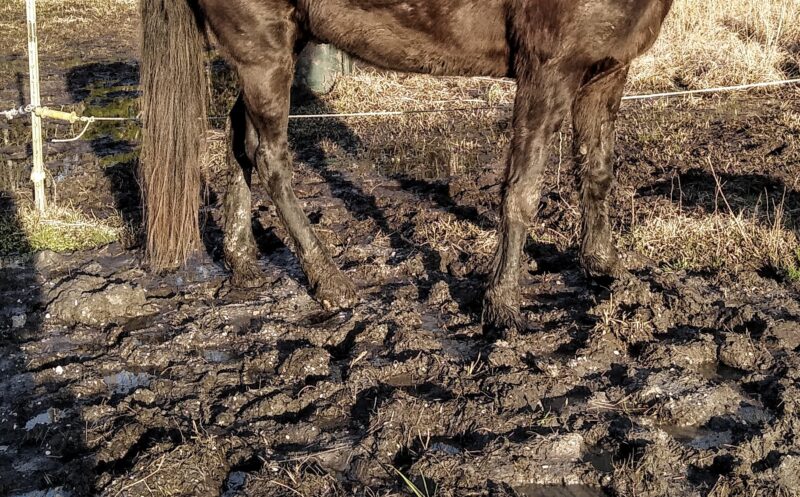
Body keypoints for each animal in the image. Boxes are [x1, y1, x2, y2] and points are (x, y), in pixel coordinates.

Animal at [139, 0, 676, 334]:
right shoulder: (547, 73)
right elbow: (522, 192)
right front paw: (502, 305)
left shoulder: (606, 73)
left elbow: (598, 172)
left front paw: (603, 265)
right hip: (263, 55)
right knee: (270, 159)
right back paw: (331, 283)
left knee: (240, 141)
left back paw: (243, 262)